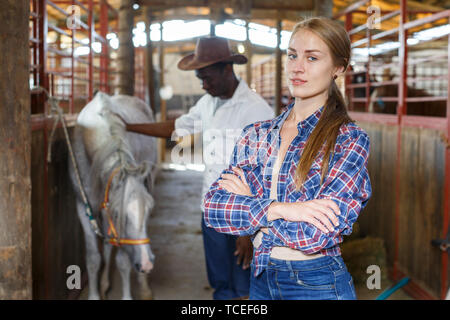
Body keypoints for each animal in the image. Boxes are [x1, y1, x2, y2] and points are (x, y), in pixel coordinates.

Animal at [68, 92, 156, 300]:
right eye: (117, 213)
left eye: (149, 210)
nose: (147, 263)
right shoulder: (84, 208)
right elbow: (93, 258)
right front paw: (94, 295)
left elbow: (123, 261)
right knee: (108, 246)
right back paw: (104, 284)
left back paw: (144, 288)